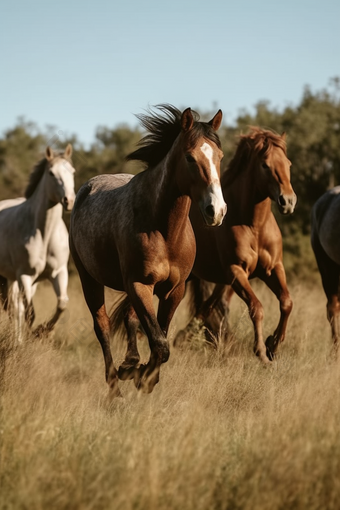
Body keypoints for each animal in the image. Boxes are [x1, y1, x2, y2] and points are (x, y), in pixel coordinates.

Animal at [69, 104, 226, 398]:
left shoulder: (174, 290)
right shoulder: (139, 285)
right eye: (190, 157)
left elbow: (159, 338)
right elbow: (159, 342)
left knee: (130, 318)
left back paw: (129, 364)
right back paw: (114, 389)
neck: (164, 231)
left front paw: (143, 374)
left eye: (220, 156)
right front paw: (141, 377)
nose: (217, 211)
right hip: (90, 280)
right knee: (102, 327)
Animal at [177, 129, 296, 364]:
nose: (288, 201)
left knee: (206, 308)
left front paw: (273, 344)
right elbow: (257, 308)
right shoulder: (236, 272)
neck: (254, 226)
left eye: (288, 163)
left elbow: (286, 303)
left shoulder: (273, 269)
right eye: (265, 165)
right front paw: (261, 351)